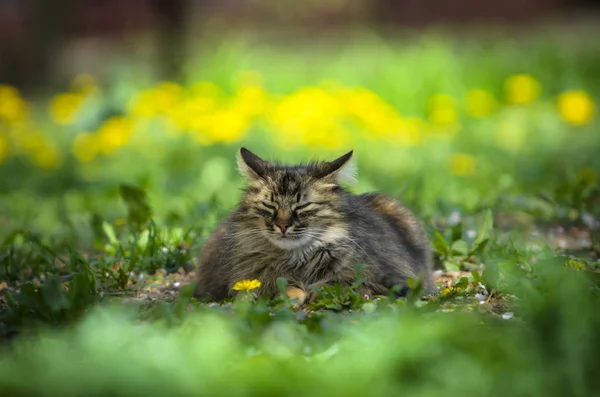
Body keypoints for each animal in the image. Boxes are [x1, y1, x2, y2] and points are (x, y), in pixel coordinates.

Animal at [195, 148, 434, 304]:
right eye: (270, 206)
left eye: (302, 206)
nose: (283, 226)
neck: (297, 258)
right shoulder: (244, 280)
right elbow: (276, 285)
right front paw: (294, 294)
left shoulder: (381, 278)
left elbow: (334, 284)